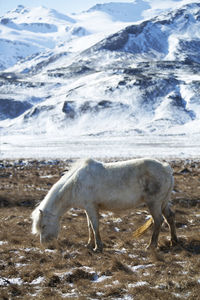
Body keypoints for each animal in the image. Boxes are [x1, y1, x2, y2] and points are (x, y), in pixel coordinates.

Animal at [31, 158, 178, 252]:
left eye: (43, 226)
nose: (46, 245)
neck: (74, 184)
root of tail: (166, 168)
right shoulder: (87, 208)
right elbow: (90, 226)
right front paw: (89, 244)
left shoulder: (91, 206)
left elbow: (95, 226)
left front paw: (98, 247)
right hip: (163, 202)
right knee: (170, 217)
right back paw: (173, 241)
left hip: (154, 203)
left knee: (158, 221)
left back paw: (151, 245)